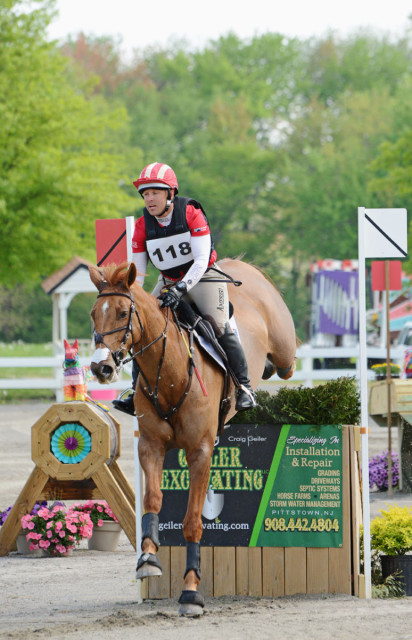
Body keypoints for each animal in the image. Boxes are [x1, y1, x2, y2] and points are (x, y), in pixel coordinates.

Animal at [89, 258, 296, 616]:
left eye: (122, 312)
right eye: (93, 314)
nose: (100, 368)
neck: (170, 373)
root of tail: (239, 264)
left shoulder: (200, 451)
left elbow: (192, 522)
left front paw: (190, 592)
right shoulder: (151, 446)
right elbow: (152, 501)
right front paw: (147, 558)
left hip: (284, 349)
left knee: (283, 364)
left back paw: (254, 384)